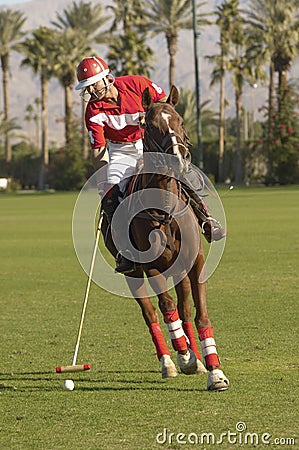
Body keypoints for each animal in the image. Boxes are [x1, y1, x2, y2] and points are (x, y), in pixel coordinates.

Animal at [101, 86, 230, 392]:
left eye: (180, 120)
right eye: (150, 125)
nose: (179, 160)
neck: (164, 209)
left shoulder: (195, 263)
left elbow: (198, 313)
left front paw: (214, 372)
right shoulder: (152, 267)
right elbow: (166, 307)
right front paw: (184, 357)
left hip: (179, 269)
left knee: (183, 308)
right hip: (133, 273)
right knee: (151, 313)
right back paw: (170, 362)